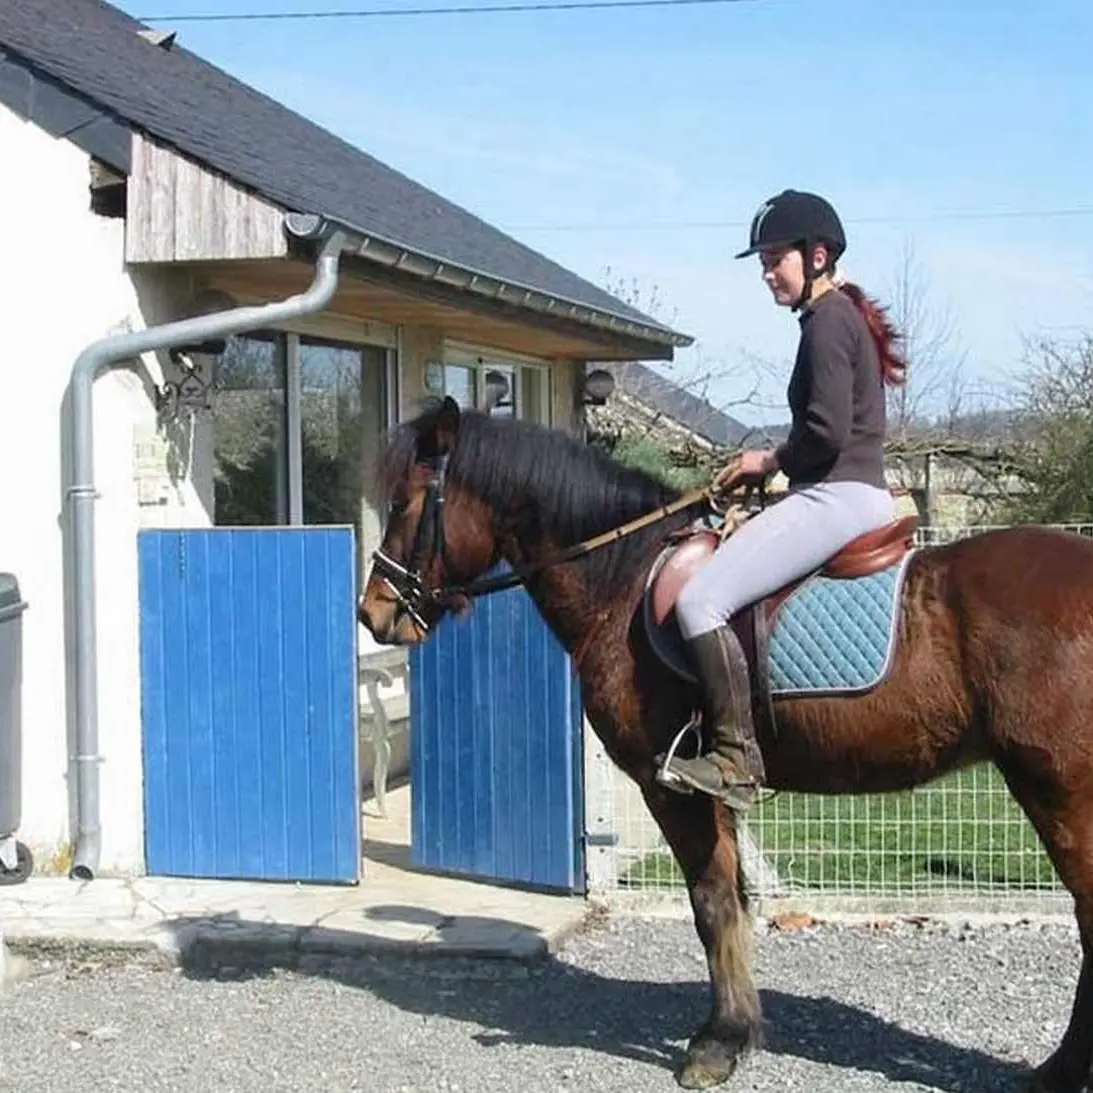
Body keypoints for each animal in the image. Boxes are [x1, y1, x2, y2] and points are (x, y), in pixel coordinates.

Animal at [358, 395, 1093, 1093]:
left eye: (404, 502)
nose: (374, 612)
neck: (623, 578)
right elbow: (734, 902)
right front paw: (739, 1031)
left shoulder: (671, 787)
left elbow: (711, 903)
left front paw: (717, 1043)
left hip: (1056, 788)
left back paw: (1061, 1069)